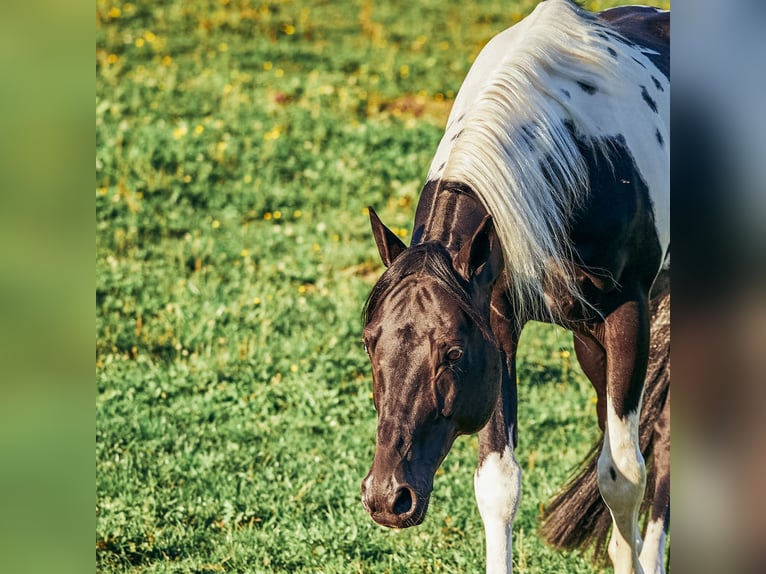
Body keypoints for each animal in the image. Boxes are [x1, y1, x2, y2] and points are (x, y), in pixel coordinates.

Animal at [359, 1, 669, 573]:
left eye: (453, 353)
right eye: (371, 344)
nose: (388, 497)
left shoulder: (628, 316)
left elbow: (623, 476)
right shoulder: (499, 323)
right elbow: (499, 485)